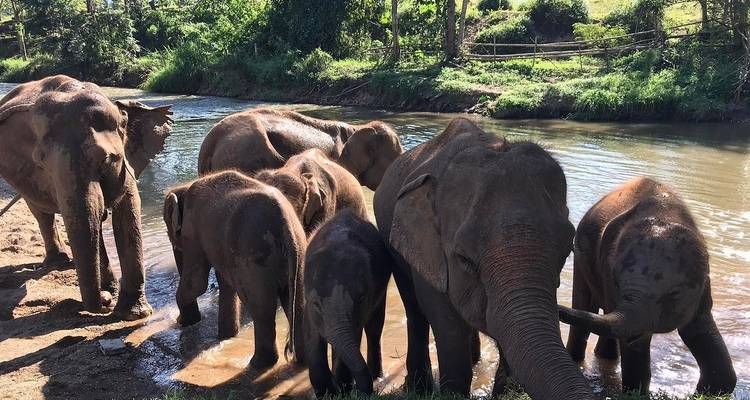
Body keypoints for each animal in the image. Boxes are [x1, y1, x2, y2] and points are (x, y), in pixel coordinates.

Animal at [0, 75, 172, 320]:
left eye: (107, 159)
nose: (105, 300)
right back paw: (59, 263)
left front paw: (134, 314)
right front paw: (115, 298)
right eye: (42, 163)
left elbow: (127, 210)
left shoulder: (126, 162)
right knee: (41, 212)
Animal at [163, 171, 306, 369]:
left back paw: (257, 364)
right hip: (299, 252)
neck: (185, 186)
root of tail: (286, 227)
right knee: (298, 305)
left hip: (254, 258)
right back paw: (302, 360)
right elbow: (225, 284)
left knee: (261, 309)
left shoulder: (192, 230)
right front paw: (227, 335)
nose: (179, 321)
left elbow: (196, 284)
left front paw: (184, 322)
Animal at [302, 210, 392, 398]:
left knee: (374, 328)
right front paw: (327, 392)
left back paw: (376, 377)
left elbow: (353, 336)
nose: (366, 392)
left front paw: (341, 390)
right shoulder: (308, 307)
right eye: (315, 304)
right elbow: (312, 336)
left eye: (361, 298)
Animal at [373, 118, 593, 400]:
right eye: (464, 259)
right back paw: (418, 387)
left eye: (566, 253)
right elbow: (446, 324)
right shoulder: (429, 254)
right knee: (414, 308)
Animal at [558, 177, 737, 396]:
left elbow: (699, 328)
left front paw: (711, 391)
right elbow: (636, 342)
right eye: (616, 282)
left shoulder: (702, 289)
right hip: (581, 256)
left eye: (674, 293)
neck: (664, 213)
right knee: (585, 305)